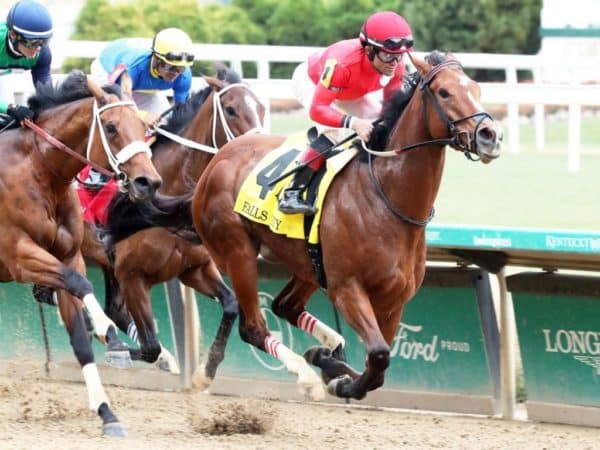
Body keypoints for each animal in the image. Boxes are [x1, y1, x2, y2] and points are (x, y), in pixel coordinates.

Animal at [0, 71, 162, 436]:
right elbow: (81, 284)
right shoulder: (19, 256)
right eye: (112, 127)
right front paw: (108, 333)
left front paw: (107, 413)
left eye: (143, 125)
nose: (148, 182)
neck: (38, 171)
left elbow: (80, 340)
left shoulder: (68, 255)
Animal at [84, 68, 264, 382]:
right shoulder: (132, 276)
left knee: (112, 310)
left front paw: (206, 370)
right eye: (231, 110)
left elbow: (231, 304)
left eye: (262, 108)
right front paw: (119, 351)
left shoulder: (193, 269)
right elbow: (149, 347)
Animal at [186, 51, 502, 400]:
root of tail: (219, 158)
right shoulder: (347, 288)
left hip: (308, 264)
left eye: (476, 88)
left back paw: (323, 353)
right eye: (444, 92)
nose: (490, 135)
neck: (385, 198)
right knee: (254, 326)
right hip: (237, 251)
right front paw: (339, 379)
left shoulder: (394, 300)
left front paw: (334, 368)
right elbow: (379, 355)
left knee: (285, 306)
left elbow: (378, 366)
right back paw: (300, 375)